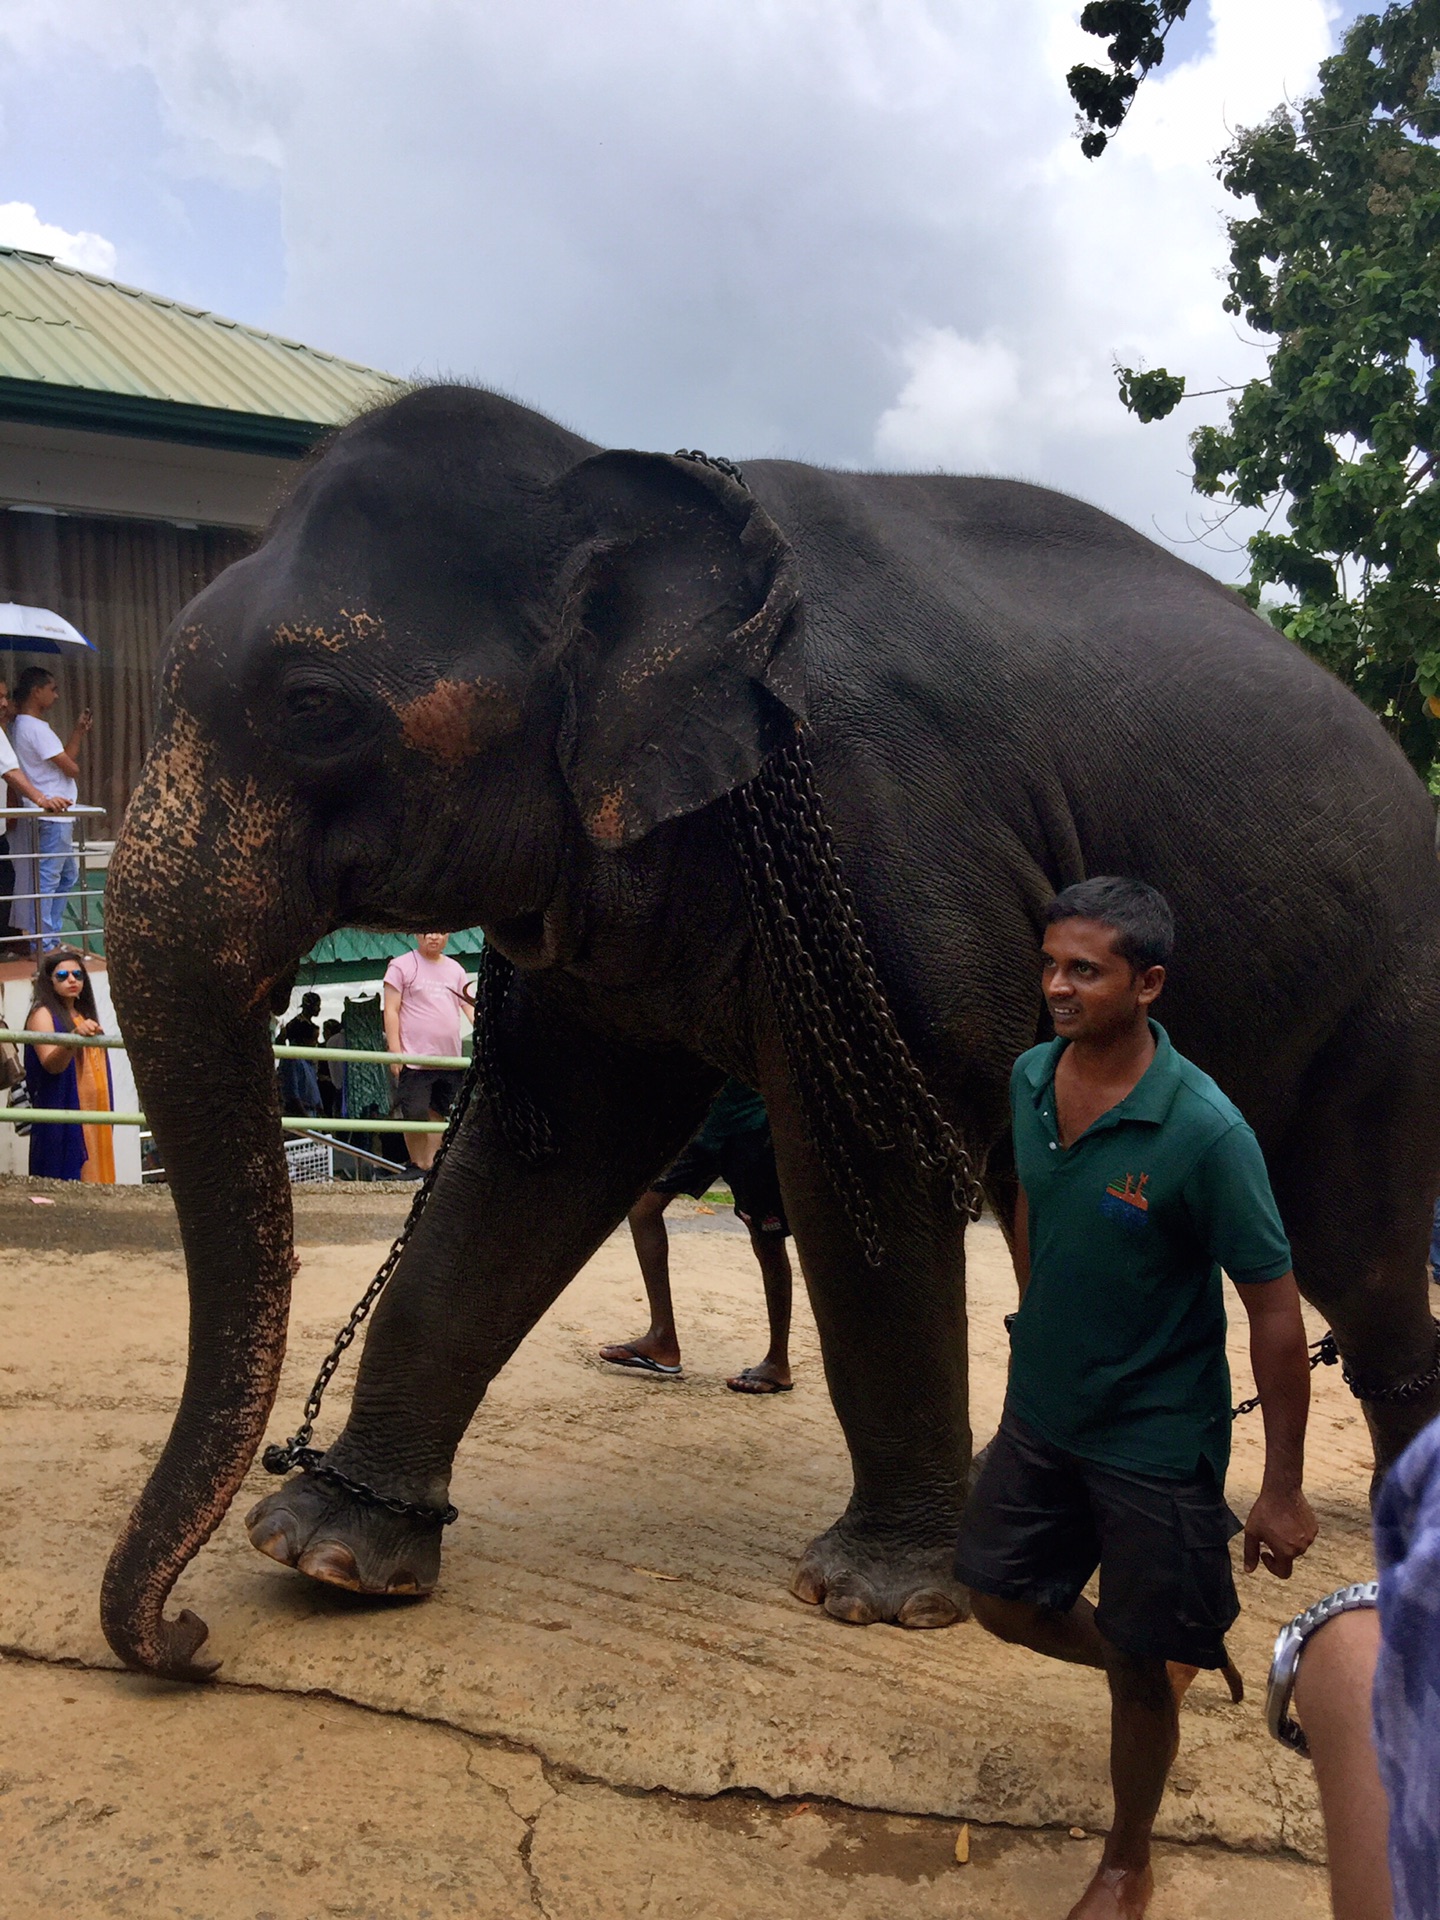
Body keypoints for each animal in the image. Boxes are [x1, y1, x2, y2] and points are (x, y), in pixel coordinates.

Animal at [104, 382, 1440, 1674]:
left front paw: (874, 1599)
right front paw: (328, 1553)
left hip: (1389, 998)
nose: (188, 1640)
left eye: (313, 705)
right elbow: (542, 1151)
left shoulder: (884, 840)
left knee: (1352, 1247)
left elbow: (865, 1165)